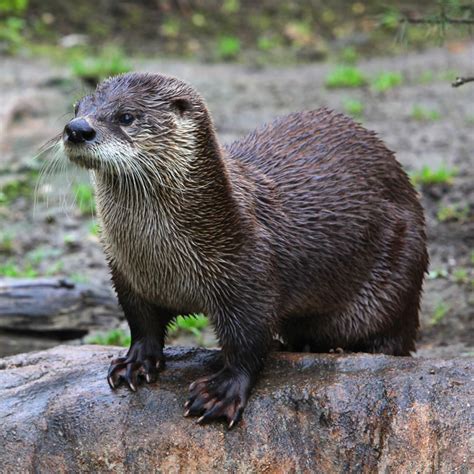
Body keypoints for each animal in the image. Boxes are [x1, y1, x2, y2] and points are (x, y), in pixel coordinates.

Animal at [61, 72, 428, 428]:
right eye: (78, 107)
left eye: (127, 116)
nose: (77, 129)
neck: (161, 261)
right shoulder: (126, 275)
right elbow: (142, 323)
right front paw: (135, 362)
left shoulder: (249, 274)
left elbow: (248, 341)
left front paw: (220, 392)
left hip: (398, 278)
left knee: (391, 340)